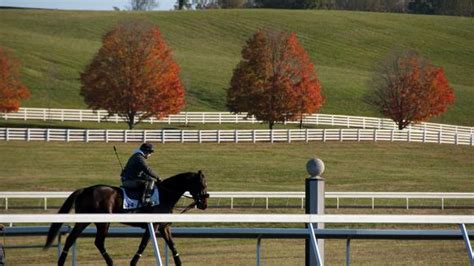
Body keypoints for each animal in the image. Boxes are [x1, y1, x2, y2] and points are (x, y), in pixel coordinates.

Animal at [43, 170, 209, 266]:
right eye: (201, 184)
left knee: (71, 238)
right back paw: (110, 262)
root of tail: (85, 190)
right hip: (103, 222)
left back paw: (61, 262)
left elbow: (173, 245)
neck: (165, 194)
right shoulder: (153, 225)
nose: (204, 204)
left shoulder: (164, 226)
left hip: (84, 221)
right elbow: (143, 245)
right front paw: (133, 262)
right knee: (98, 242)